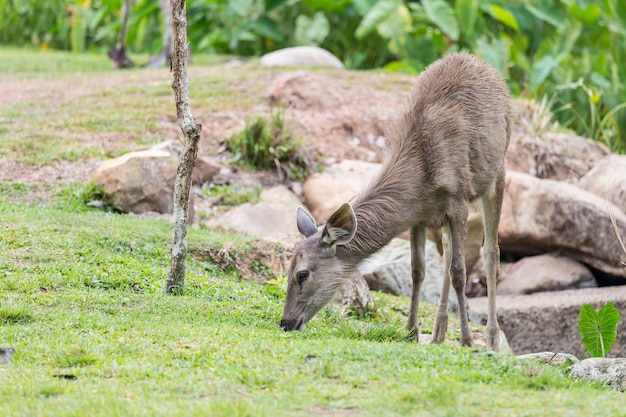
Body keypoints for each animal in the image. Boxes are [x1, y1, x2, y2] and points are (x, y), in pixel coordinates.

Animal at [280, 52, 510, 352]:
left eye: (302, 274)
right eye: (287, 268)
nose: (285, 322)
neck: (421, 177)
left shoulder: (457, 200)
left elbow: (460, 272)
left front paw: (467, 340)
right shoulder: (419, 216)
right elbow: (418, 270)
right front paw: (411, 331)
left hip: (497, 171)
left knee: (490, 253)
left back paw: (492, 339)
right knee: (448, 252)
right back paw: (438, 333)